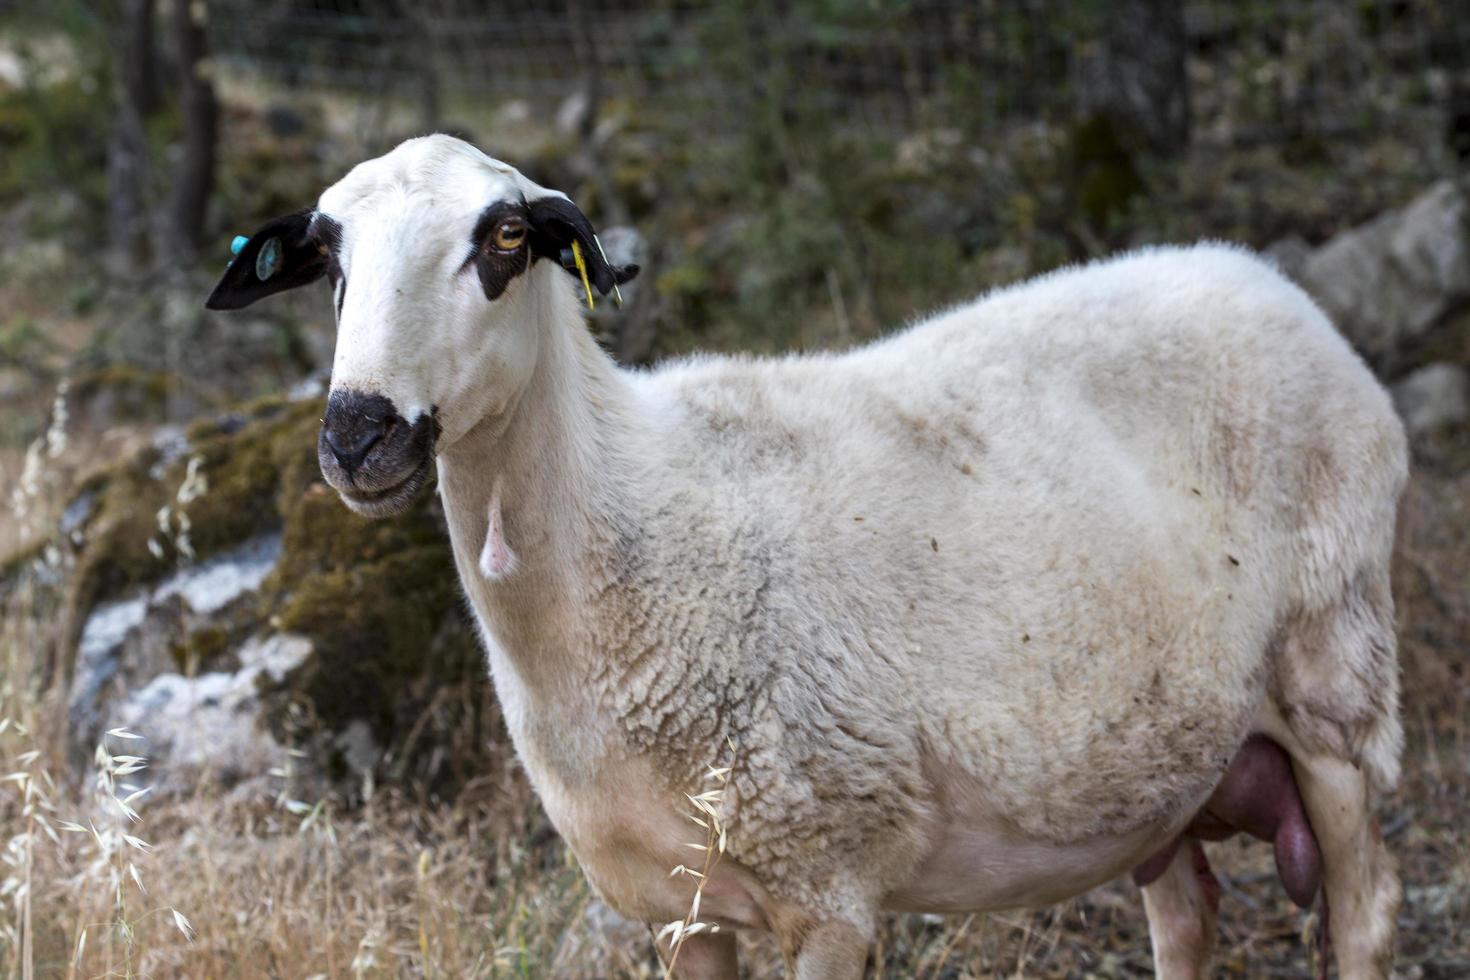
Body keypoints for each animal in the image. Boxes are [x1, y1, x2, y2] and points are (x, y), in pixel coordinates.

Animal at [210, 134, 1411, 975]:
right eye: (329, 259)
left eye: (504, 242)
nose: (357, 434)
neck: (630, 516)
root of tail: (1266, 281)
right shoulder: (678, 909)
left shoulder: (826, 882)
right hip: (1162, 762)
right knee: (1189, 917)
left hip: (1337, 676)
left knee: (1364, 916)